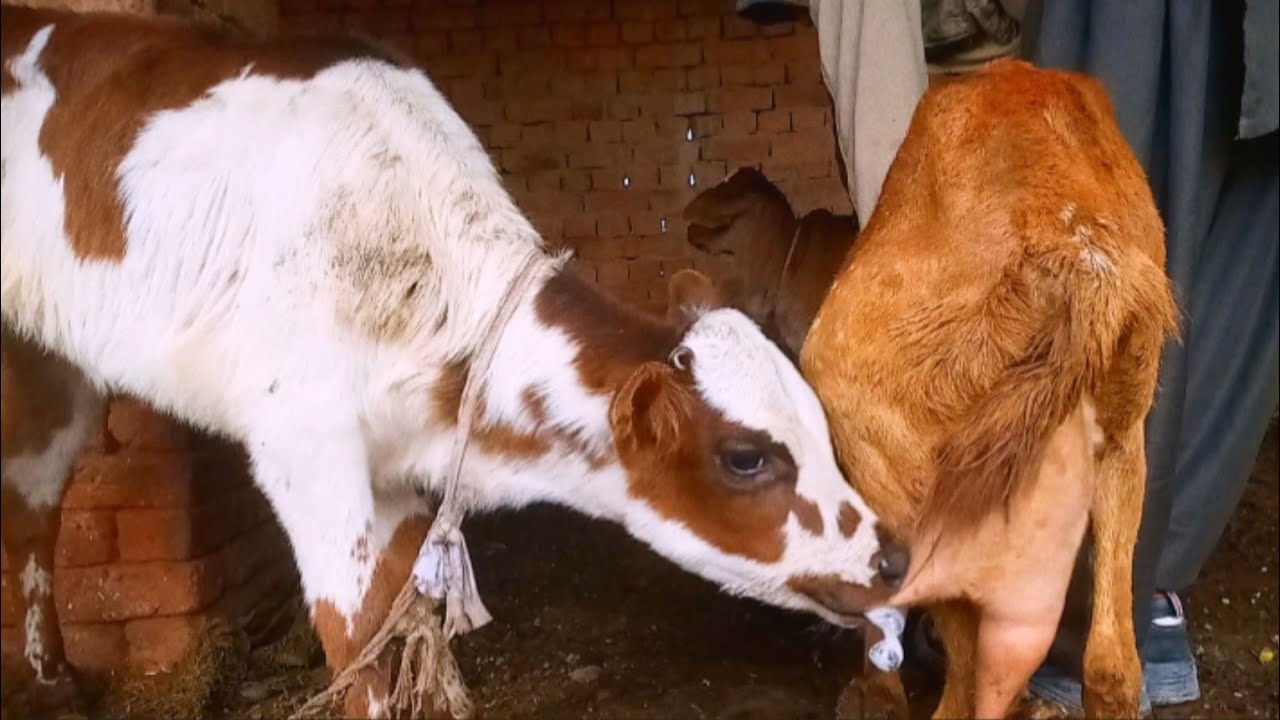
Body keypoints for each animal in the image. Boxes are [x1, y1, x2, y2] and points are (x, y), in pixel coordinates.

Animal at [0, 6, 908, 717]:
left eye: (822, 426)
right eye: (746, 457)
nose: (894, 558)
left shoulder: (400, 479)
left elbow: (408, 637)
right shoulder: (305, 448)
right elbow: (357, 648)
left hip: (51, 366)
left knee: (35, 501)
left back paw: (54, 683)